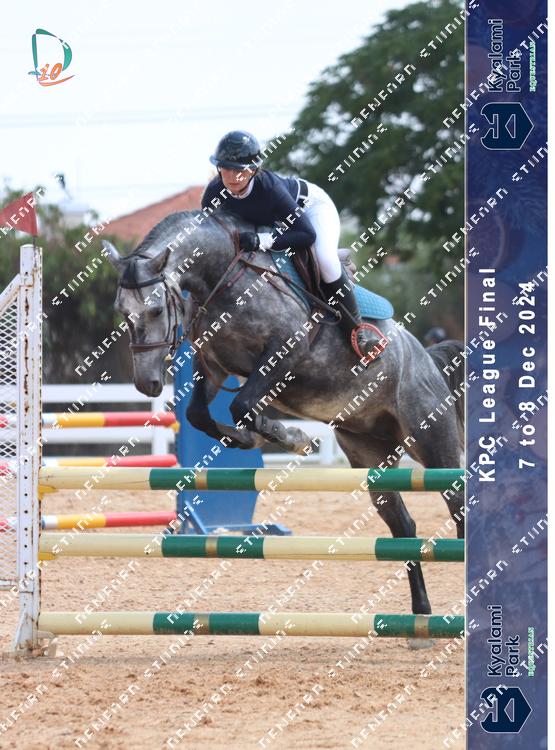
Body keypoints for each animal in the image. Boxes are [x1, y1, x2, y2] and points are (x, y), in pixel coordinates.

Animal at [103, 210, 464, 617]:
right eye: (122, 313)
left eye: (155, 309)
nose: (147, 383)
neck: (223, 277)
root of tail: (427, 360)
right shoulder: (215, 365)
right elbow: (199, 414)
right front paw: (251, 438)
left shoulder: (284, 353)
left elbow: (242, 406)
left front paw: (291, 438)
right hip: (369, 451)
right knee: (402, 524)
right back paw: (421, 612)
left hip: (432, 443)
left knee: (459, 507)